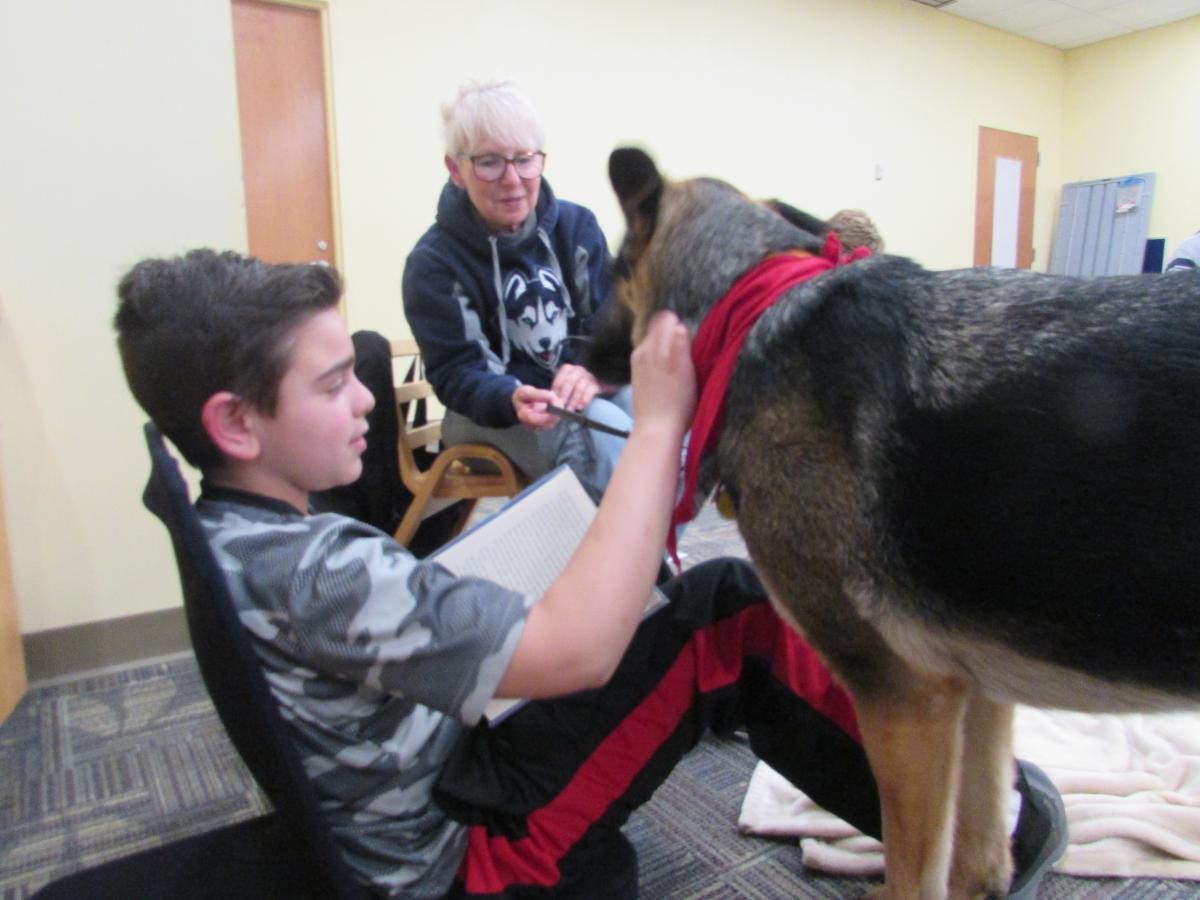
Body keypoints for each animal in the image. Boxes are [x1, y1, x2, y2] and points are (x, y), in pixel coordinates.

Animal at [597, 150, 1200, 900]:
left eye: (613, 270)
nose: (570, 353)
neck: (753, 300)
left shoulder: (906, 703)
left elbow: (916, 873)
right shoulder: (977, 694)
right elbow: (979, 855)